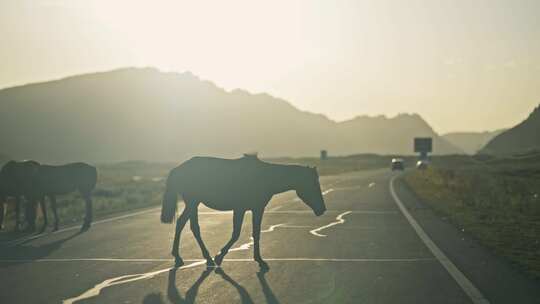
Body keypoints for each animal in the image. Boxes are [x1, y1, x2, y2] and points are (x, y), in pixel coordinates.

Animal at [160, 156, 326, 270]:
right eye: (313, 184)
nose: (322, 209)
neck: (265, 177)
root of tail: (178, 169)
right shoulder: (241, 209)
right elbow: (236, 234)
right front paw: (220, 256)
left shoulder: (256, 209)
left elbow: (256, 233)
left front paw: (259, 259)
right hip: (193, 202)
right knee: (190, 226)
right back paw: (199, 257)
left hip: (193, 203)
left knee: (184, 224)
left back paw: (187, 257)